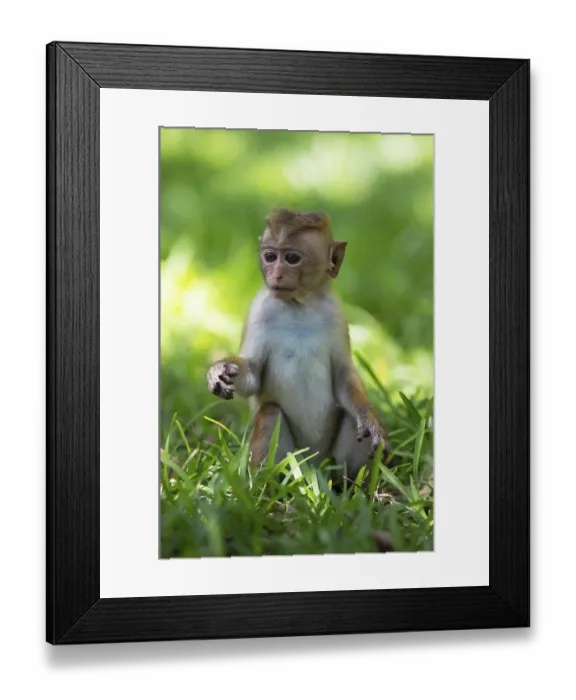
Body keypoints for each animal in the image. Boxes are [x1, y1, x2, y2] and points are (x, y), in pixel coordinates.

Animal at [206, 208, 390, 485]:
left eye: (292, 258)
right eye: (270, 256)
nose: (277, 274)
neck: (299, 306)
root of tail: (313, 465)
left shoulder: (336, 314)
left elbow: (342, 375)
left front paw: (370, 419)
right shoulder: (259, 309)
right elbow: (253, 374)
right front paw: (221, 370)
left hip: (330, 459)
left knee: (351, 421)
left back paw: (349, 487)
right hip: (290, 458)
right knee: (270, 412)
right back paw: (267, 486)